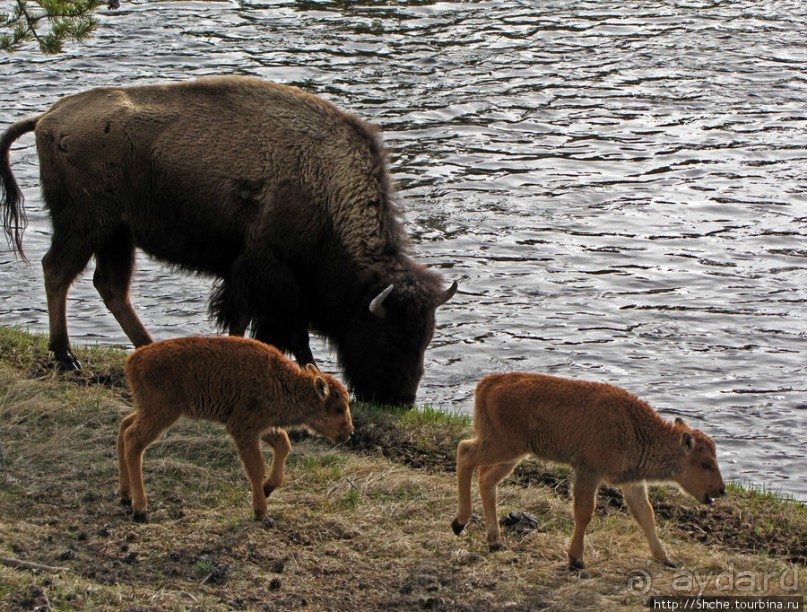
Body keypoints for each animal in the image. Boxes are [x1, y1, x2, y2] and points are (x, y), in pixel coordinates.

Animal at [0, 75, 454, 406]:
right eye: (387, 336)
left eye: (426, 338)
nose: (401, 400)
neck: (323, 185)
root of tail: (48, 118)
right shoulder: (273, 276)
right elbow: (289, 333)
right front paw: (310, 374)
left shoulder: (247, 277)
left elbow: (243, 322)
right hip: (84, 227)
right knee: (58, 272)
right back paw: (66, 356)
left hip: (117, 235)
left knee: (111, 288)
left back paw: (149, 349)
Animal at [117, 334, 354, 520]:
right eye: (339, 408)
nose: (349, 432)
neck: (281, 382)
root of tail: (133, 360)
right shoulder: (244, 428)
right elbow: (256, 467)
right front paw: (262, 512)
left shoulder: (262, 427)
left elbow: (284, 445)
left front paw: (268, 488)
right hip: (162, 413)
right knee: (133, 440)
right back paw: (140, 509)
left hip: (147, 409)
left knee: (124, 427)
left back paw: (125, 495)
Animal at [454, 372, 724, 568]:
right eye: (706, 463)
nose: (721, 490)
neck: (637, 429)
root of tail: (489, 382)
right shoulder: (589, 472)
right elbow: (584, 512)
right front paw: (576, 559)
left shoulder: (632, 482)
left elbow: (646, 515)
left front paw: (666, 558)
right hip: (504, 446)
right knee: (465, 453)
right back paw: (460, 522)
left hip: (512, 454)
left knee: (486, 478)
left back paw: (494, 540)